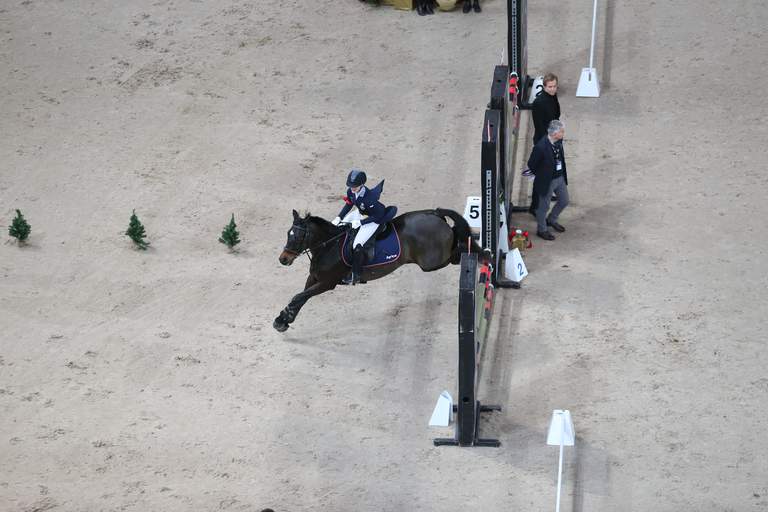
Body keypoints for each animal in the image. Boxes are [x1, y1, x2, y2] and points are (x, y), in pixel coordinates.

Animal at [272, 208, 484, 332]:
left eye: (298, 236)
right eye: (288, 233)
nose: (283, 259)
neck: (329, 246)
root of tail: (435, 214)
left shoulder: (327, 283)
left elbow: (299, 296)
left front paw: (283, 319)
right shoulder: (314, 277)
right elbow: (299, 297)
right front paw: (283, 319)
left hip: (433, 262)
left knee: (458, 250)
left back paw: (482, 253)